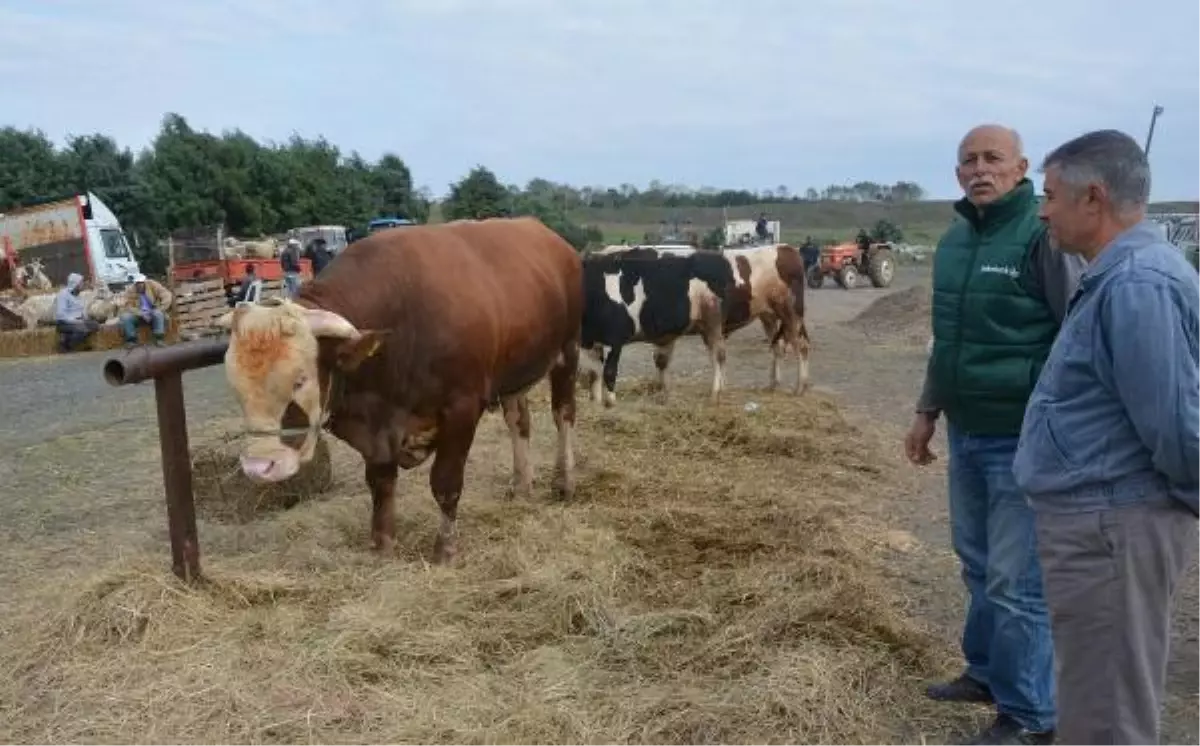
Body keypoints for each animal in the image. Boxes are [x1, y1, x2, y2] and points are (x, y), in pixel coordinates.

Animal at [222, 219, 590, 563]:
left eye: (300, 380)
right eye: (235, 387)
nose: (259, 466)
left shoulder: (462, 408)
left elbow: (445, 483)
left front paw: (445, 549)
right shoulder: (377, 430)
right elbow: (381, 484)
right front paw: (382, 545)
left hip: (567, 351)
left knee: (563, 415)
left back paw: (563, 482)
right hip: (515, 372)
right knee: (519, 422)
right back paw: (522, 484)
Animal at [578, 248, 734, 405]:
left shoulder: (614, 338)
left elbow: (609, 372)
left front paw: (611, 403)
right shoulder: (590, 342)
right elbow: (594, 374)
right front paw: (596, 403)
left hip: (713, 323)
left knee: (718, 356)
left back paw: (715, 393)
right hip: (705, 327)